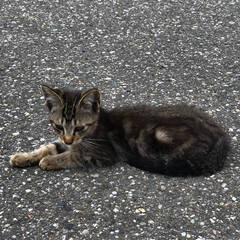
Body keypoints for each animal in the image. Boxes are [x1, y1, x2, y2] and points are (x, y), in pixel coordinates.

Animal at [9, 85, 230, 175]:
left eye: (80, 127)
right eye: (58, 126)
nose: (69, 139)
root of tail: (223, 139)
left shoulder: (102, 152)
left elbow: (74, 156)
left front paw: (49, 161)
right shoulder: (65, 141)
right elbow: (49, 146)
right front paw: (23, 157)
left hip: (163, 136)